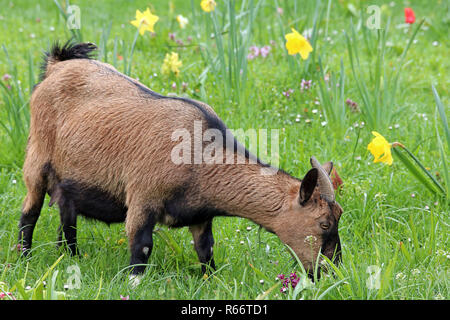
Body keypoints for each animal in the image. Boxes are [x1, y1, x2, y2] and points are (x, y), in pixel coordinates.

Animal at [16, 41, 342, 282]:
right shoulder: (142, 198)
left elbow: (205, 250)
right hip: (37, 158)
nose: (333, 271)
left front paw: (210, 281)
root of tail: (57, 65)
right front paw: (134, 284)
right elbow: (141, 246)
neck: (200, 157)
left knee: (67, 216)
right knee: (30, 211)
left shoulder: (200, 215)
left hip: (69, 180)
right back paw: (23, 258)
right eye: (324, 223)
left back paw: (71, 257)